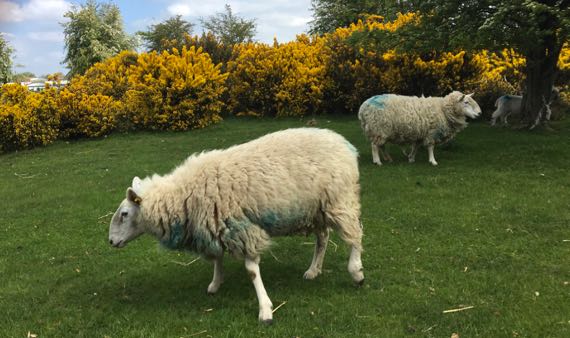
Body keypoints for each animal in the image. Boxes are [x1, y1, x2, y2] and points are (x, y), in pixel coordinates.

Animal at [107, 128, 364, 324]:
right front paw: (215, 283)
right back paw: (313, 270)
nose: (110, 241)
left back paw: (356, 272)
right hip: (317, 209)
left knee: (355, 235)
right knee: (323, 238)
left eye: (124, 214)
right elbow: (217, 258)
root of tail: (344, 144)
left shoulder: (241, 228)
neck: (184, 195)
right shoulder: (215, 226)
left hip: (339, 199)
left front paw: (265, 309)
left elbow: (251, 271)